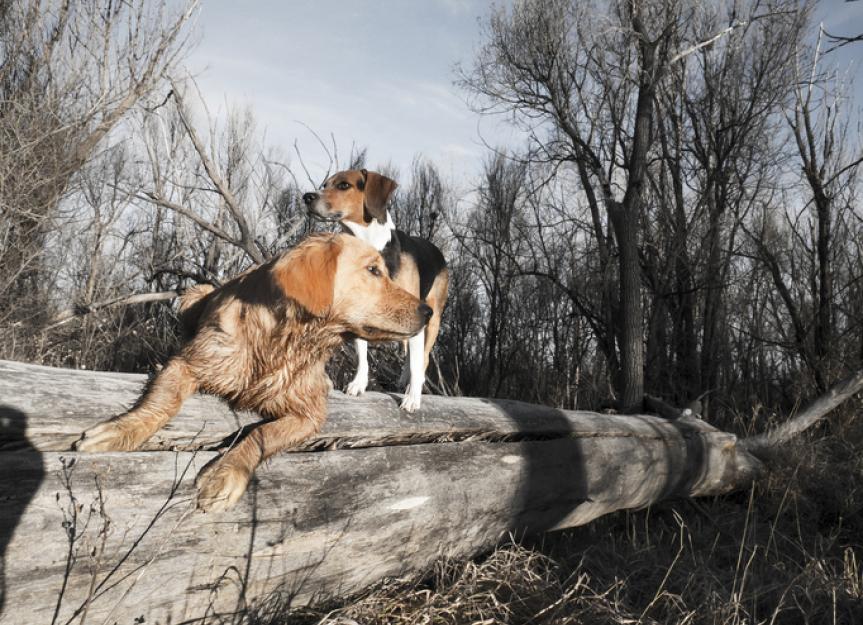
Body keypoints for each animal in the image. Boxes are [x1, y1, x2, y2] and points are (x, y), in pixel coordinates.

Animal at [74, 232, 432, 510]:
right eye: (373, 270)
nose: (428, 311)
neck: (285, 342)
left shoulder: (310, 412)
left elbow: (262, 435)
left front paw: (227, 473)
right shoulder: (191, 361)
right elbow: (165, 400)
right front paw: (121, 430)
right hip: (193, 296)